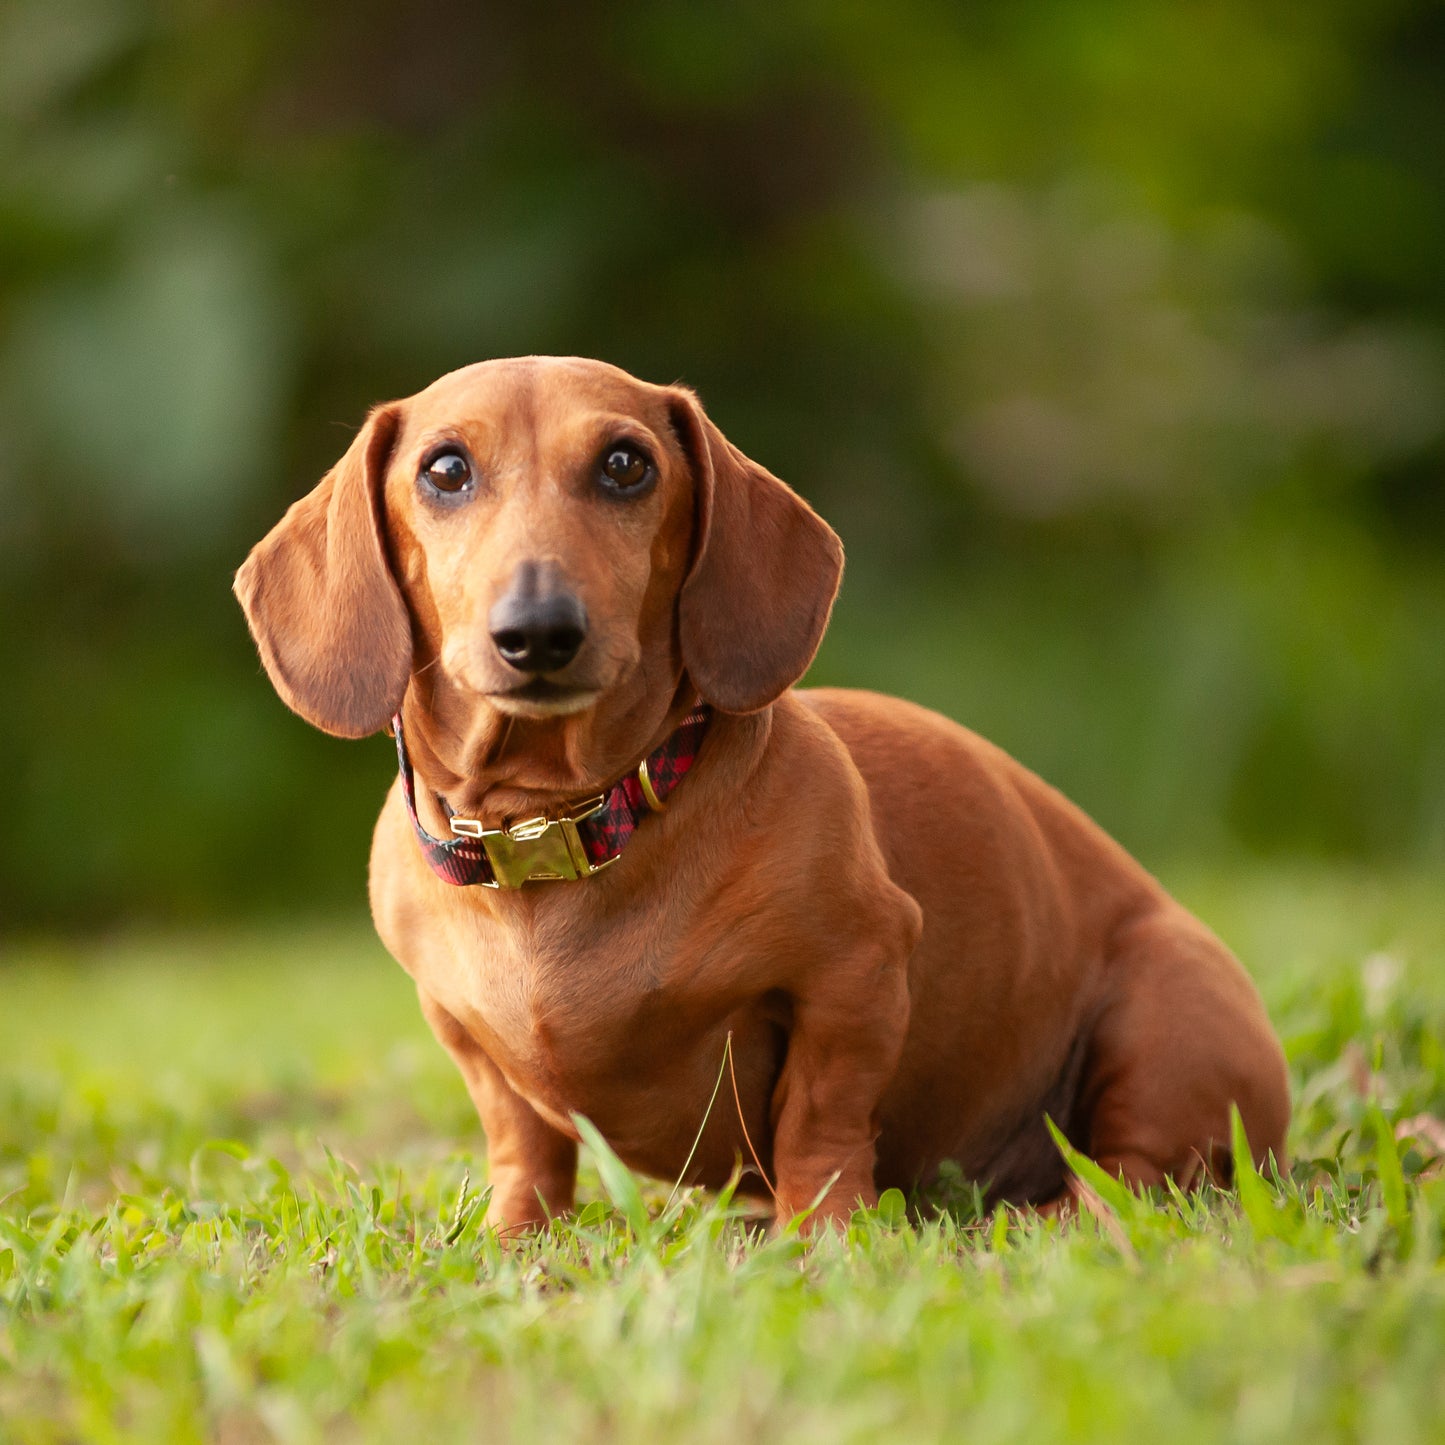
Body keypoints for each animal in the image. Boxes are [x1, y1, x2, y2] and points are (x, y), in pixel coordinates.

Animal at [234, 355, 1288, 1225]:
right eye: (444, 469)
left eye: (626, 464)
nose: (538, 631)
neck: (562, 826)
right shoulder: (460, 1033)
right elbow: (520, 1141)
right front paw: (516, 1239)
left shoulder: (856, 969)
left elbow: (820, 1119)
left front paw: (822, 1236)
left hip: (1164, 1012)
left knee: (1137, 1176)